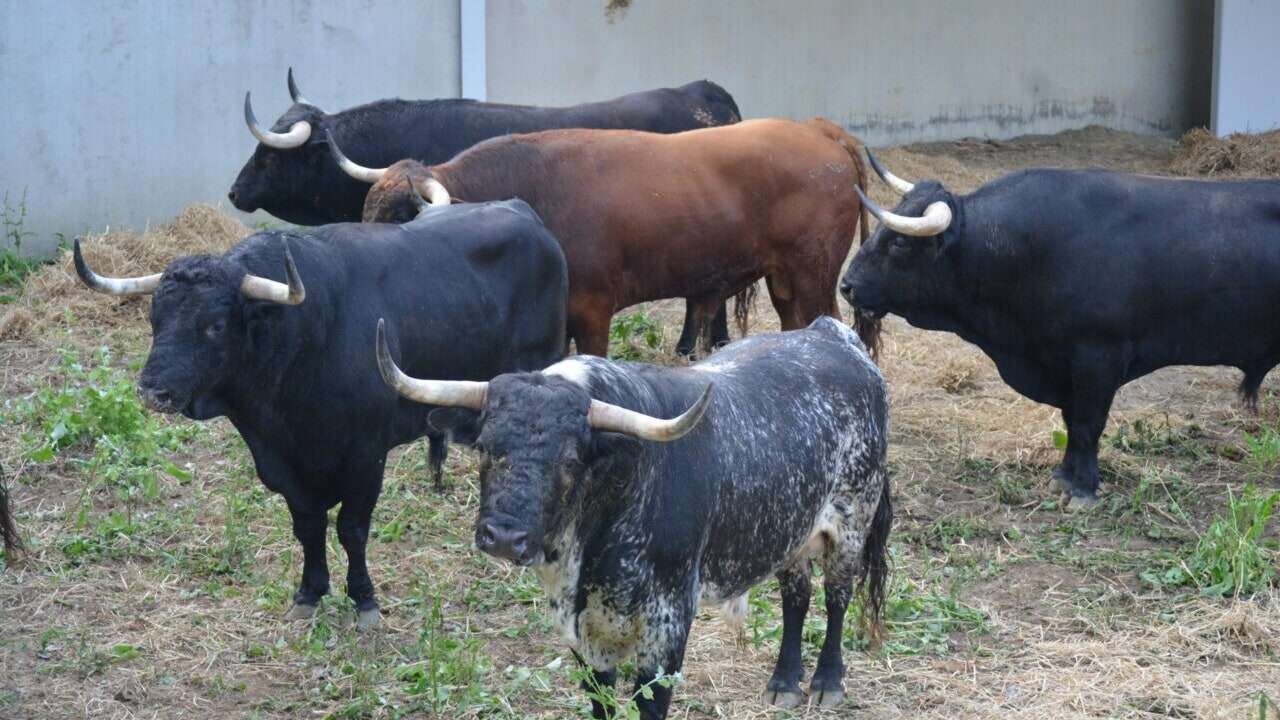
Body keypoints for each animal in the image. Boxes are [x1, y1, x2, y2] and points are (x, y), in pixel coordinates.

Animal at [72, 198, 565, 625]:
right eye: (154, 320)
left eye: (214, 325)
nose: (152, 391)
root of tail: (526, 216)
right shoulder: (283, 466)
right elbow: (308, 527)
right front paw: (309, 593)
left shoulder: (366, 458)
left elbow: (352, 528)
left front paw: (364, 600)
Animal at [348, 119, 870, 356]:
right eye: (367, 214)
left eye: (401, 218)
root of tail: (815, 129)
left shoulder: (592, 311)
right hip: (785, 282)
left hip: (815, 277)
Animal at [839, 152, 1280, 504]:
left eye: (899, 243)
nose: (847, 285)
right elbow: (1071, 421)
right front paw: (1065, 476)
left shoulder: (1098, 356)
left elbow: (1087, 424)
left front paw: (1082, 488)